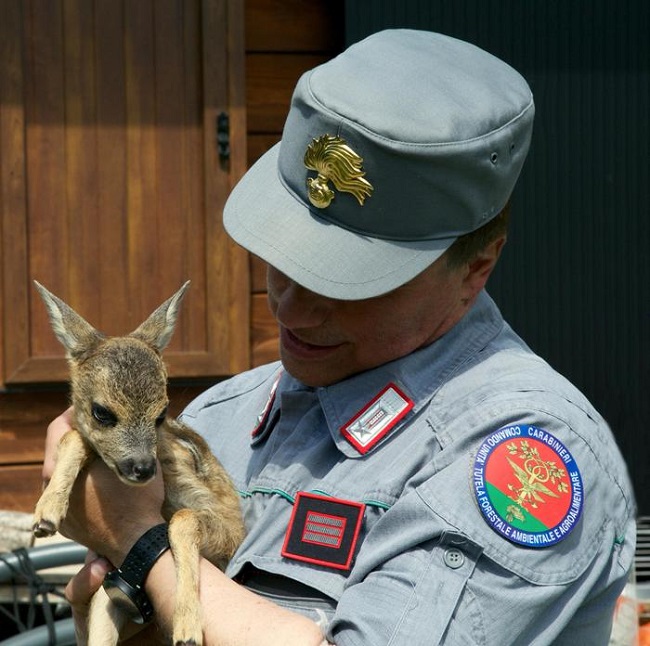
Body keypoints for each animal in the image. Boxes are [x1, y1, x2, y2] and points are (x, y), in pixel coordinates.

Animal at [31, 284, 243, 646]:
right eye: (101, 412)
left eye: (162, 413)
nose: (143, 467)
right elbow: (73, 437)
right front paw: (47, 512)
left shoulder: (232, 527)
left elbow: (183, 519)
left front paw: (188, 626)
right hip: (105, 598)